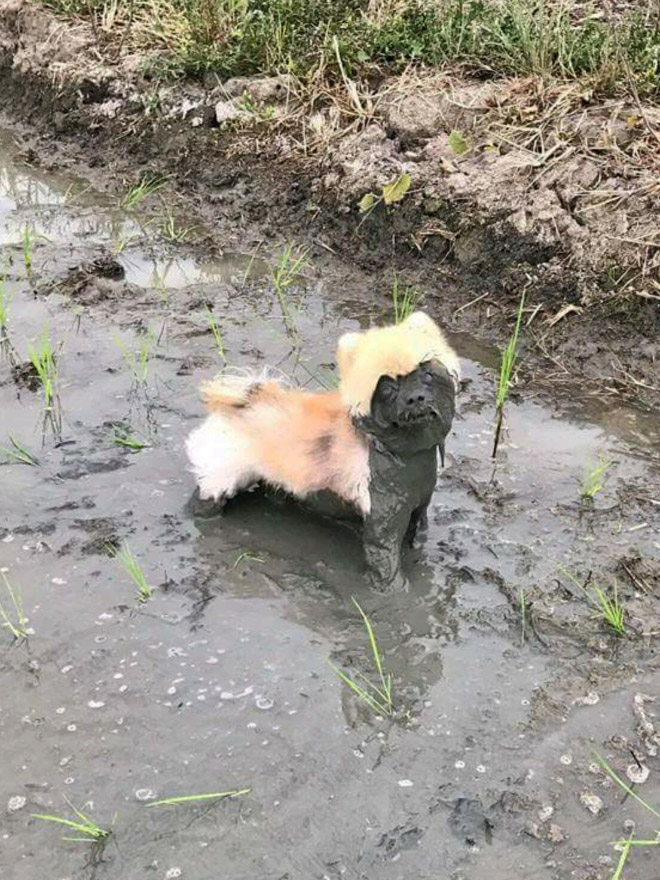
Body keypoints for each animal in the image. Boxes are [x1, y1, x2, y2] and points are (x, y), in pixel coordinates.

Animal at [186, 312, 458, 592]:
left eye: (426, 374)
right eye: (387, 388)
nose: (415, 398)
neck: (402, 453)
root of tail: (243, 403)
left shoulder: (418, 507)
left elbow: (417, 534)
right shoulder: (383, 521)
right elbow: (386, 560)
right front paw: (394, 592)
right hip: (221, 475)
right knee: (205, 497)